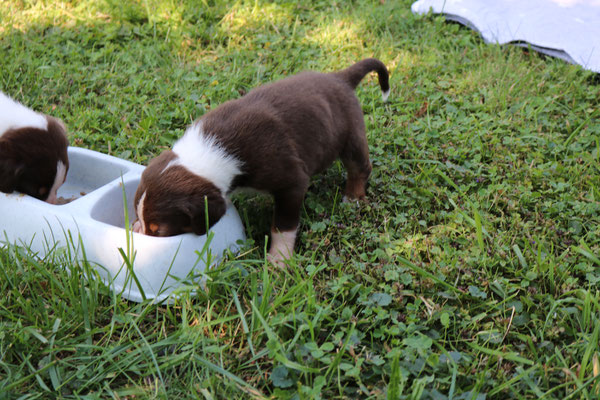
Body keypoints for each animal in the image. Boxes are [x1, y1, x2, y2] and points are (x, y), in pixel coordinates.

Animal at [134, 57, 392, 262]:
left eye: (159, 231)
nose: (139, 233)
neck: (213, 149)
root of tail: (340, 78)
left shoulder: (291, 182)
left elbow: (283, 226)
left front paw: (278, 259)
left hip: (351, 135)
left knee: (360, 167)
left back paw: (353, 198)